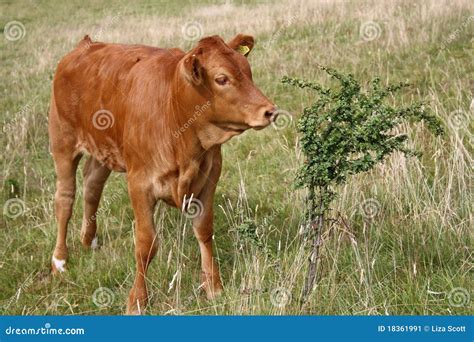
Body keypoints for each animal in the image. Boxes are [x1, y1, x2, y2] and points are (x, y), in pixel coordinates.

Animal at [48, 33, 276, 314]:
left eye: (248, 70)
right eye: (222, 79)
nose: (269, 110)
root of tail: (86, 45)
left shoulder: (208, 179)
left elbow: (204, 231)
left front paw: (214, 287)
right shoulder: (139, 184)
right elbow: (146, 245)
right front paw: (137, 300)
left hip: (103, 148)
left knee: (92, 186)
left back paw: (88, 240)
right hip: (62, 141)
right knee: (65, 199)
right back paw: (59, 260)